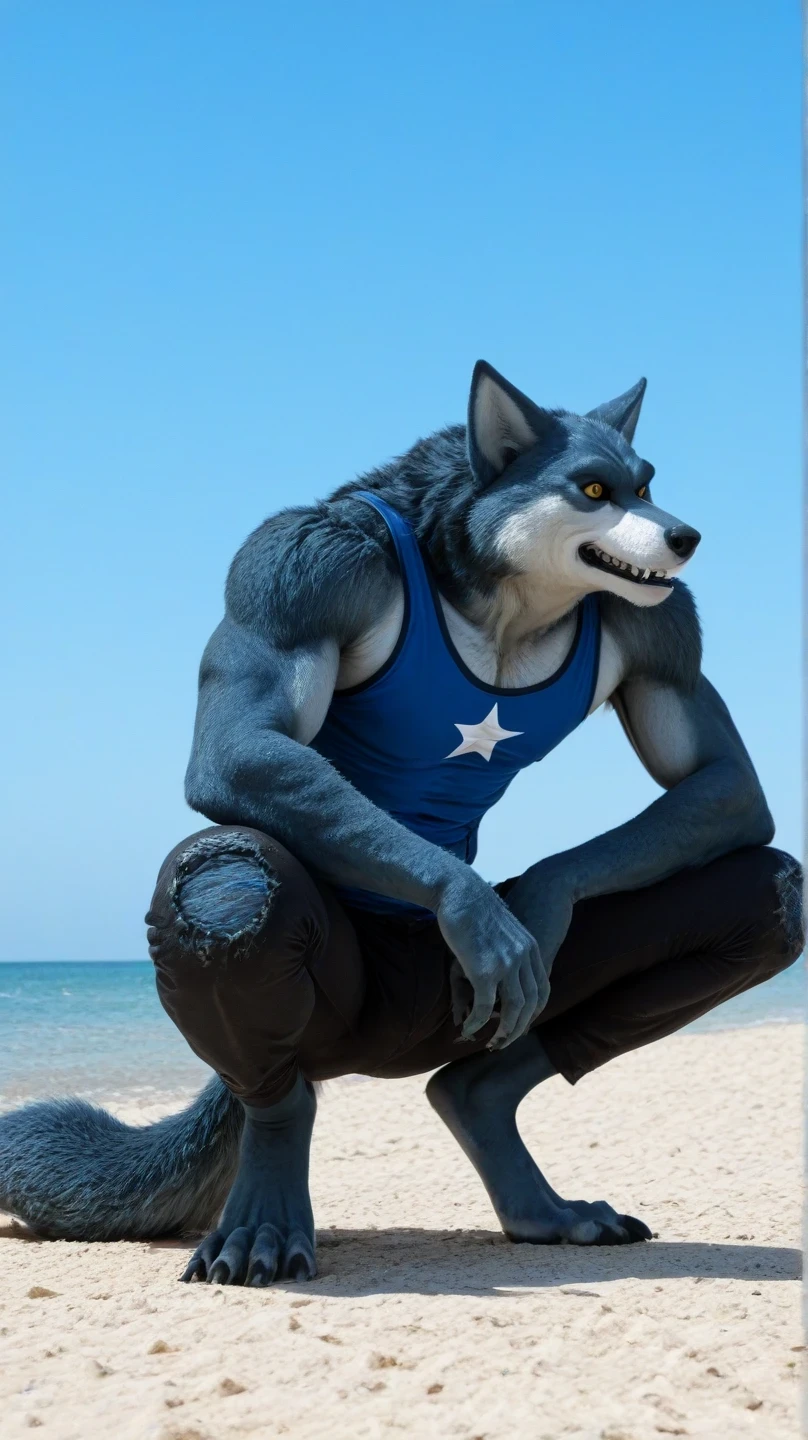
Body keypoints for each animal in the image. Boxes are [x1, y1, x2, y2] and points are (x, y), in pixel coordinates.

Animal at [1, 362, 801, 1284]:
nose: (686, 537)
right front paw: (476, 910)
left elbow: (721, 779)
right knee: (229, 887)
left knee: (766, 889)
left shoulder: (662, 627)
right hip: (317, 1003)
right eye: (594, 489)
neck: (498, 597)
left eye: (648, 485)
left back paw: (505, 1145)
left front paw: (535, 904)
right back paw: (266, 1209)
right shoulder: (301, 569)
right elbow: (238, 747)